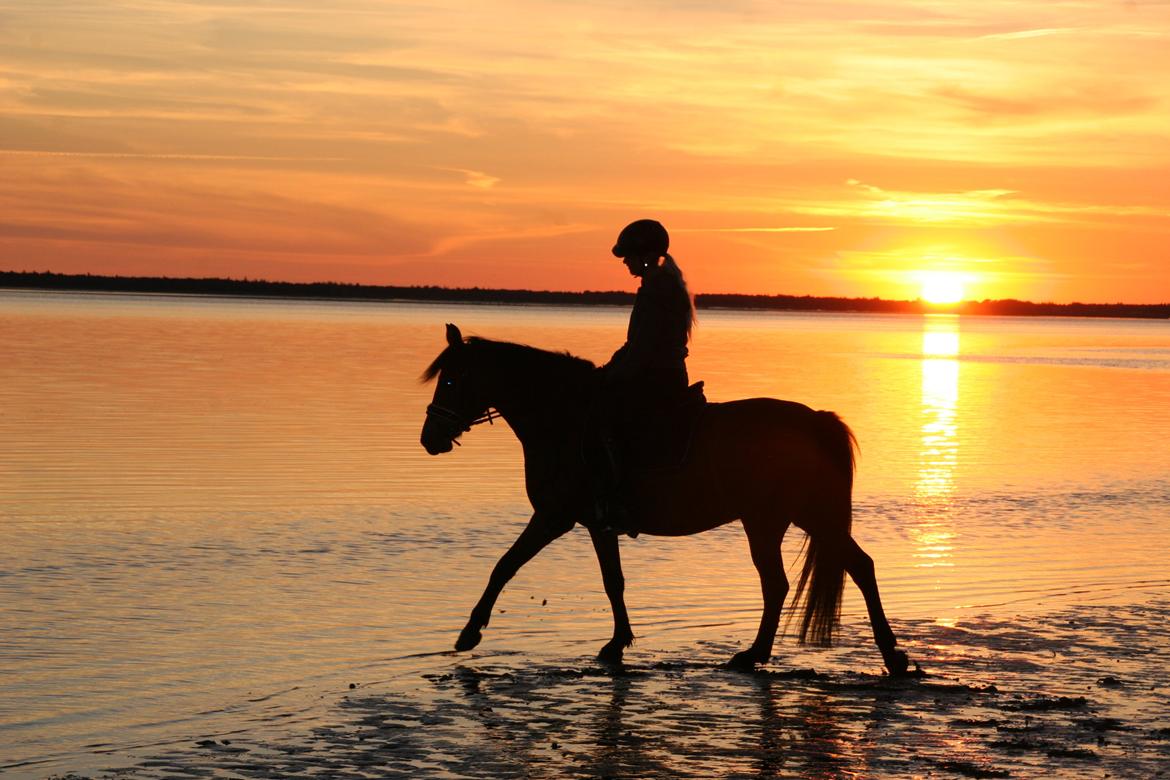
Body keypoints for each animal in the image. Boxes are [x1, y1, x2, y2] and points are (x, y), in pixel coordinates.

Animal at [421, 322, 912, 678]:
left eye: (450, 380)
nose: (429, 439)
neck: (564, 420)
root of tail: (815, 420)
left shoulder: (554, 516)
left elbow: (504, 565)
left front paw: (469, 633)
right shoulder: (596, 522)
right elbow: (613, 582)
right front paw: (617, 643)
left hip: (775, 520)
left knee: (787, 582)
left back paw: (758, 654)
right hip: (800, 517)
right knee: (854, 568)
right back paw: (888, 655)